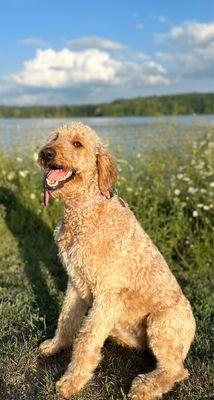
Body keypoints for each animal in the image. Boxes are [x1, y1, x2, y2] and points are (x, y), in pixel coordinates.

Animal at [37, 122, 195, 400]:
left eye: (77, 144)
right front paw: (55, 346)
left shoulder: (108, 294)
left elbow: (86, 338)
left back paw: (145, 386)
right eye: (55, 137)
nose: (46, 153)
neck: (85, 210)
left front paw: (72, 381)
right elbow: (66, 320)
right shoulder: (75, 283)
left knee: (175, 369)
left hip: (161, 323)